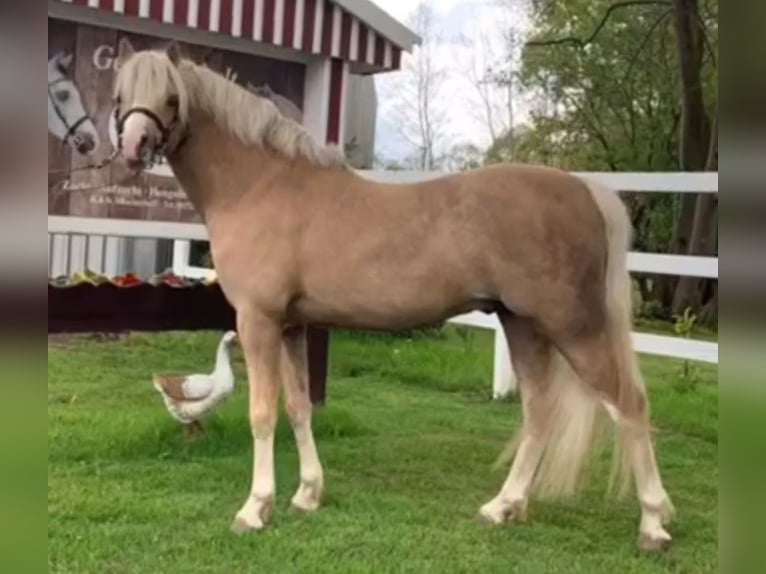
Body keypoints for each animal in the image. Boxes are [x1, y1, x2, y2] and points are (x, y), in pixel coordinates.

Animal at [111, 39, 676, 552]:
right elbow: (298, 407)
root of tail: (585, 189)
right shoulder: (292, 325)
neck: (260, 184)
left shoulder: (259, 320)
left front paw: (255, 509)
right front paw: (308, 494)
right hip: (522, 325)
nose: (134, 146)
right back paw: (502, 506)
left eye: (170, 97)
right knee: (539, 412)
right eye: (122, 94)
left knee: (630, 406)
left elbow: (262, 413)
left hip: (575, 327)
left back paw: (653, 525)